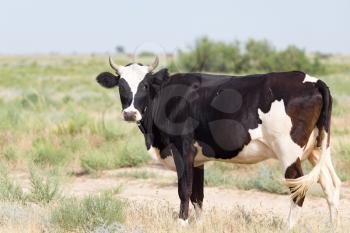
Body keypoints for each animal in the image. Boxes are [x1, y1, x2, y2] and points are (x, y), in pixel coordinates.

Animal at [95, 56, 340, 228]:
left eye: (145, 85)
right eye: (121, 86)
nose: (130, 113)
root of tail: (314, 81)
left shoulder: (182, 148)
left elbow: (184, 189)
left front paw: (181, 223)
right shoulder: (197, 157)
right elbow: (198, 195)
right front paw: (199, 224)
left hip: (288, 151)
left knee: (298, 187)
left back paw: (288, 226)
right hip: (317, 148)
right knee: (331, 185)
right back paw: (332, 226)